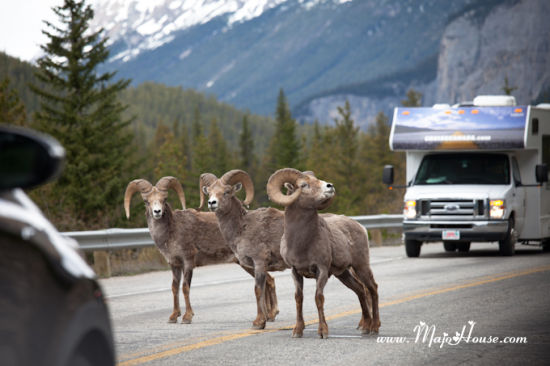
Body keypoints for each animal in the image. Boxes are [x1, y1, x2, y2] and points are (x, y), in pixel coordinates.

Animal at [126, 177, 280, 324]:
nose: (157, 212)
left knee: (268, 282)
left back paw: (270, 315)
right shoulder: (174, 264)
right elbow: (174, 287)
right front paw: (173, 317)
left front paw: (187, 317)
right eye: (146, 201)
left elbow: (185, 287)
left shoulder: (188, 261)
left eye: (164, 199)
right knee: (268, 282)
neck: (171, 231)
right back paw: (268, 316)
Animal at [198, 170, 286, 330]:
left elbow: (258, 290)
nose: (212, 203)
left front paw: (258, 323)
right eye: (209, 193)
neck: (242, 227)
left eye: (226, 192)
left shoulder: (259, 262)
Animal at [270, 168, 382, 338]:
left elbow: (318, 298)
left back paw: (374, 327)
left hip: (361, 266)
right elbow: (298, 298)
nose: (330, 186)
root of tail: (360, 226)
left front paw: (323, 331)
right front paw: (297, 331)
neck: (301, 243)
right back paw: (365, 327)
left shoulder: (321, 270)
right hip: (343, 274)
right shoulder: (295, 271)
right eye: (304, 185)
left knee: (372, 289)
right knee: (360, 291)